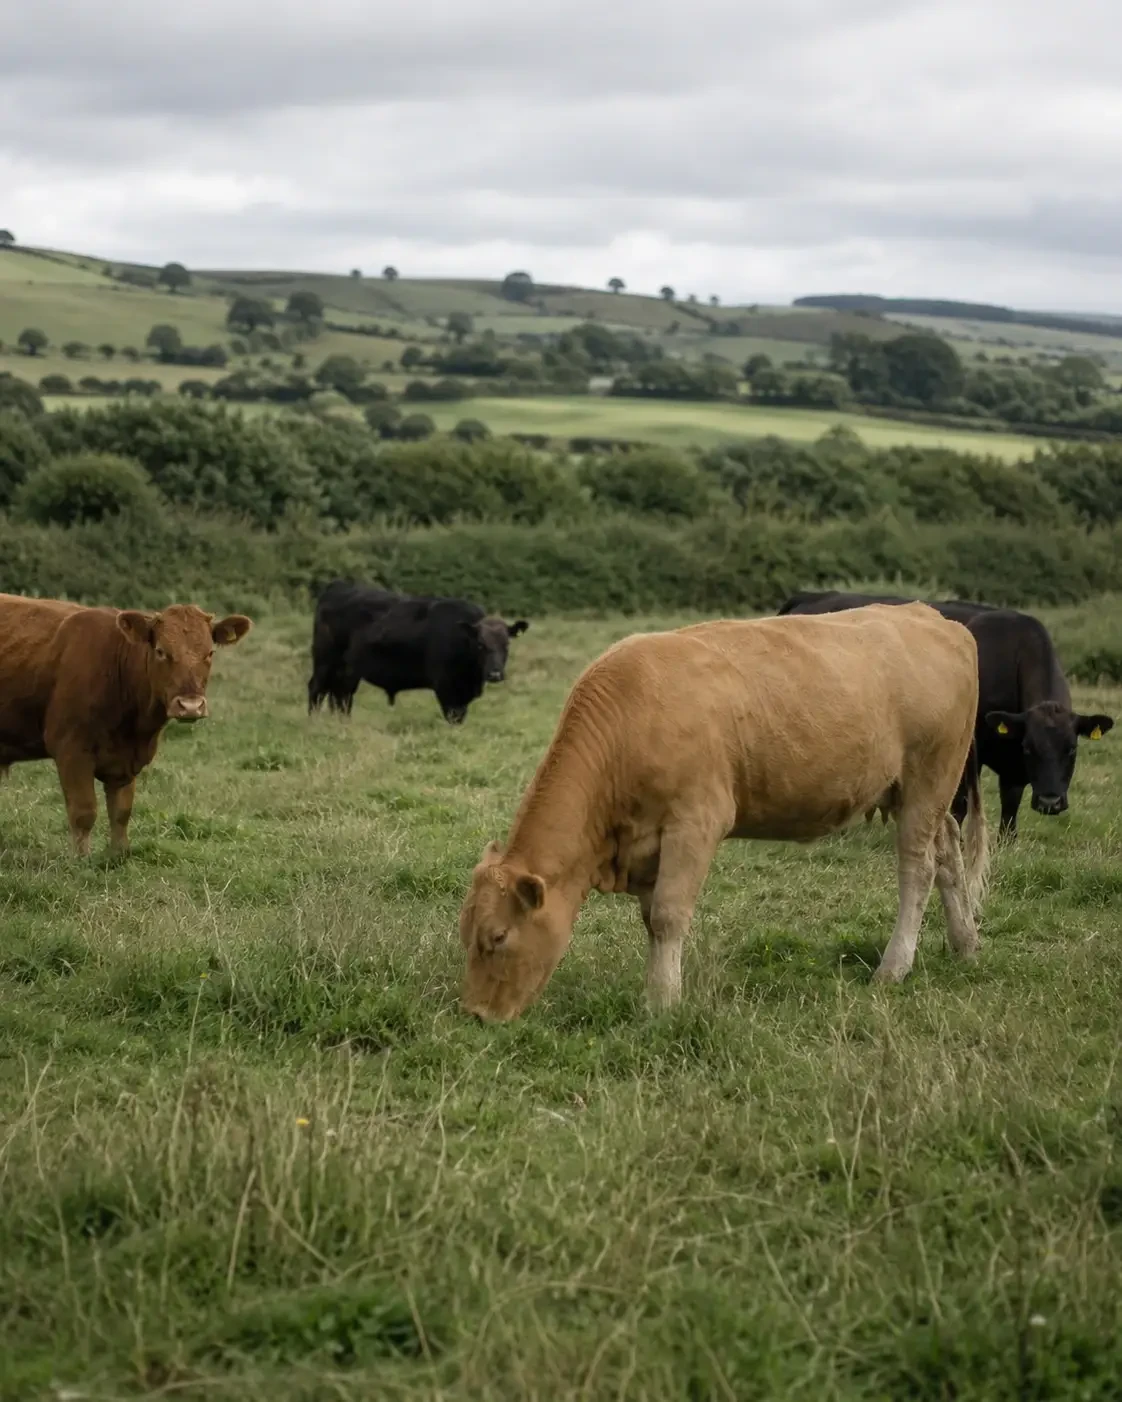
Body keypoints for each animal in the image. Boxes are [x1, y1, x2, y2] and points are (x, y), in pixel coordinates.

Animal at [0, 594, 252, 856]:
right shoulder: (71, 750)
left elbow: (121, 812)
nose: (191, 706)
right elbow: (83, 812)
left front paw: (119, 855)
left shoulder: (125, 759)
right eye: (161, 651)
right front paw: (81, 859)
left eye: (210, 653)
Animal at [307, 579, 529, 725]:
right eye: (480, 644)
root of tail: (338, 586)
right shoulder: (447, 688)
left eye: (506, 644)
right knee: (317, 689)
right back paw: (314, 722)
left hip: (348, 670)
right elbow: (453, 717)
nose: (495, 674)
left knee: (341, 696)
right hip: (325, 661)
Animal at [459, 604, 988, 1022]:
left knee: (918, 869)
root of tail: (929, 615)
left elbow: (668, 916)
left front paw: (661, 1002)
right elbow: (652, 920)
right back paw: (965, 943)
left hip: (928, 780)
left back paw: (894, 967)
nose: (477, 1015)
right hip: (917, 794)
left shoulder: (694, 823)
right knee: (948, 851)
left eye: (498, 937)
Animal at [777, 590, 1114, 836]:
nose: (1050, 801)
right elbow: (960, 804)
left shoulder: (1012, 763)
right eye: (1030, 748)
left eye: (1072, 749)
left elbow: (1010, 804)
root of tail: (814, 596)